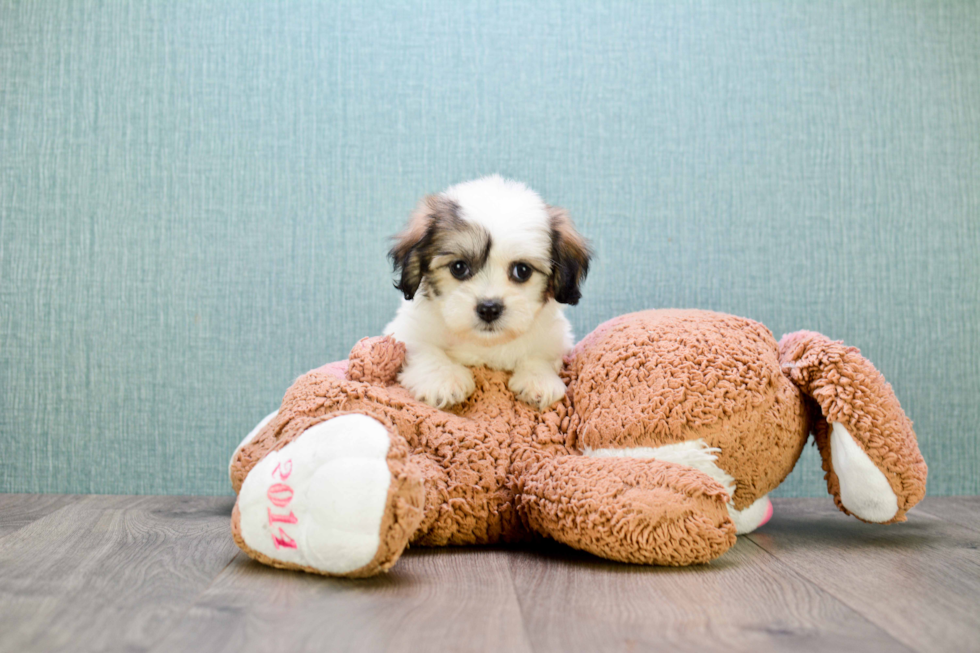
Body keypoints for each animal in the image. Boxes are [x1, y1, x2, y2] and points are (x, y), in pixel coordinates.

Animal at [386, 173, 592, 408]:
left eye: (522, 270)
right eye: (459, 267)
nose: (489, 309)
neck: (485, 344)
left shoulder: (555, 338)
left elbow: (541, 354)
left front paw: (539, 379)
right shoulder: (406, 330)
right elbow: (423, 347)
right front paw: (443, 379)